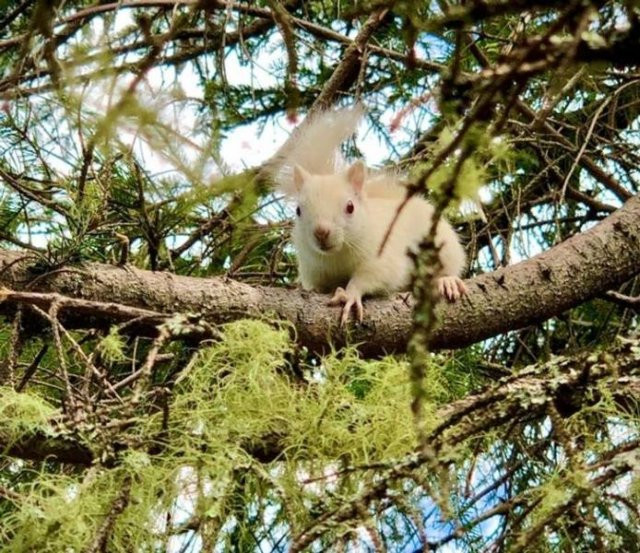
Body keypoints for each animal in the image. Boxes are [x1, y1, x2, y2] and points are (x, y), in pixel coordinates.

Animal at [268, 103, 468, 324]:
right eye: (298, 211)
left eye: (350, 207)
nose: (321, 232)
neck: (337, 255)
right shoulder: (316, 273)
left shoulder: (383, 256)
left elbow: (369, 277)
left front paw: (349, 295)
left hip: (444, 246)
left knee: (449, 266)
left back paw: (447, 281)